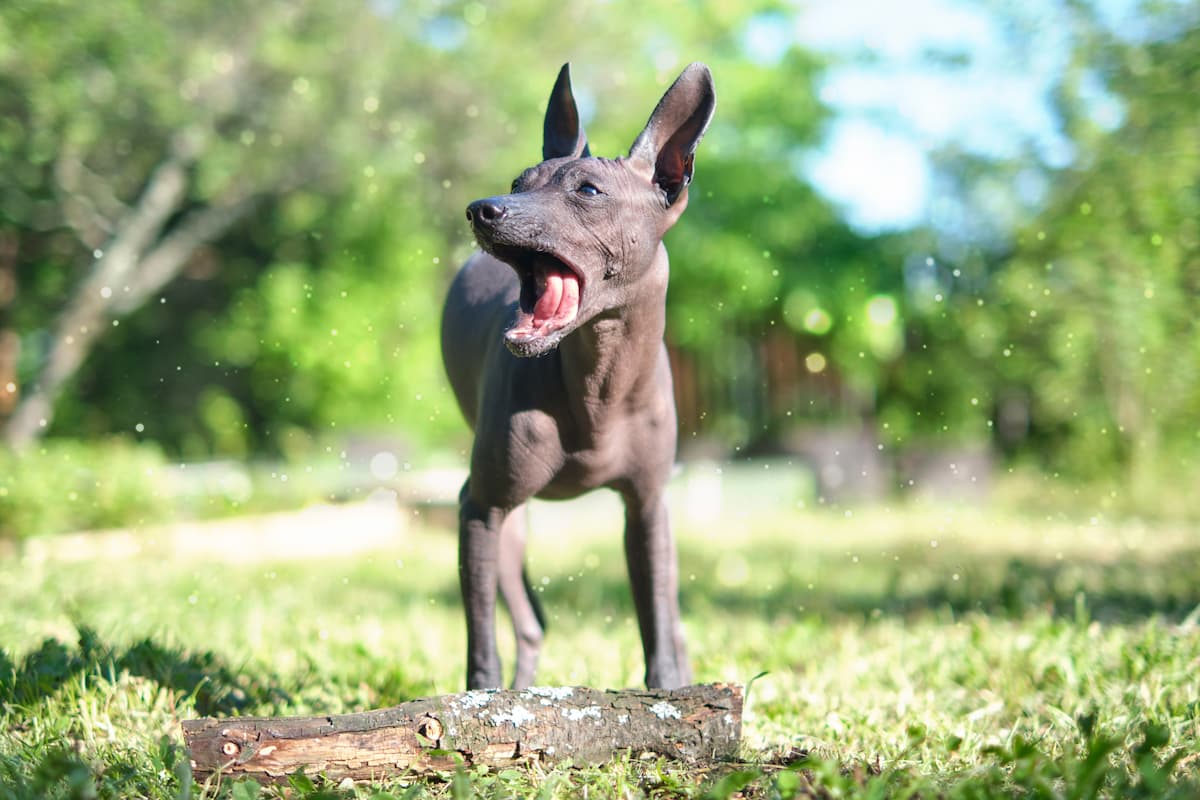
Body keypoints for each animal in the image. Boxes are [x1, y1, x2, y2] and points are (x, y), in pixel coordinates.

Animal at [446, 62, 715, 690]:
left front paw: (670, 695)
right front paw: (480, 702)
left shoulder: (647, 508)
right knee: (526, 623)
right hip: (507, 522)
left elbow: (657, 619)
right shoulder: (480, 507)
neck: (601, 387)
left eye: (588, 191)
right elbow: (481, 636)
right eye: (520, 182)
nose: (482, 208)